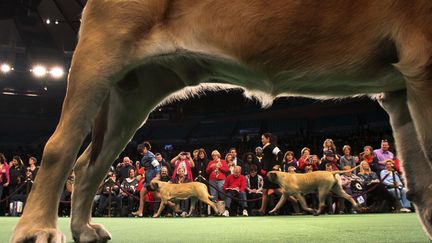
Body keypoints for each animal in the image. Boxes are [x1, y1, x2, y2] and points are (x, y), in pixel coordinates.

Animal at [9, 0, 432, 243]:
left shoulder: (404, 89)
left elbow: (421, 183)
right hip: (98, 60)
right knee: (60, 148)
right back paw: (36, 229)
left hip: (133, 95)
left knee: (90, 165)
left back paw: (82, 228)